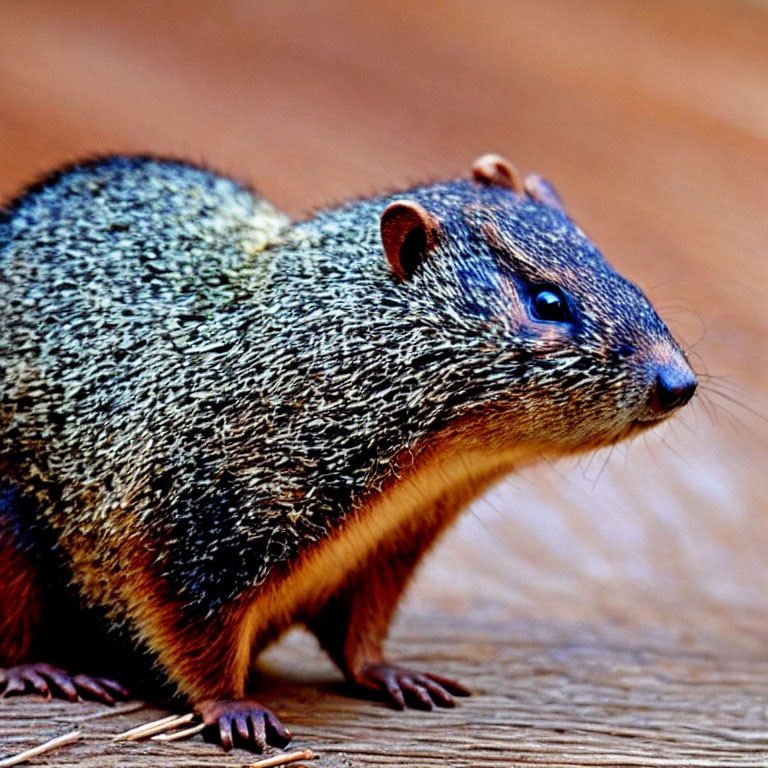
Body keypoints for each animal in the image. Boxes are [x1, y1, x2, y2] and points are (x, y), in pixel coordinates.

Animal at [0, 154, 696, 752]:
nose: (679, 382)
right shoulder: (190, 528)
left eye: (612, 265)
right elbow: (196, 641)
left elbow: (359, 635)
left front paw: (393, 675)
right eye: (547, 302)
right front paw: (236, 710)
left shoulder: (383, 553)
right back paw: (45, 671)